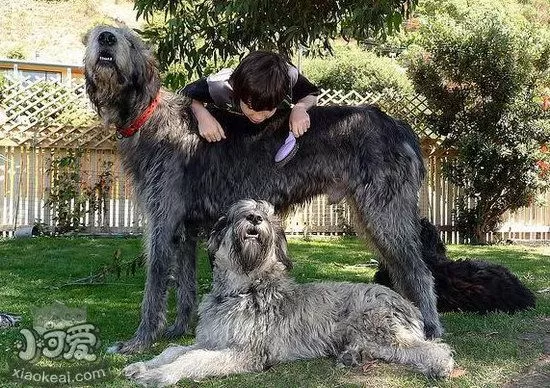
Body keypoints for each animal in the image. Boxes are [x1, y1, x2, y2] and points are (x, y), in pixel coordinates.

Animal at [126, 200, 458, 384]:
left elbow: (191, 360)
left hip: (379, 328)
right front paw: (142, 365)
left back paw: (441, 365)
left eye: (267, 215)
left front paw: (159, 375)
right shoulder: (211, 340)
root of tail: (406, 302)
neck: (242, 288)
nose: (255, 219)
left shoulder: (244, 352)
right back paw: (352, 356)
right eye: (239, 212)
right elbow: (174, 350)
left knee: (431, 348)